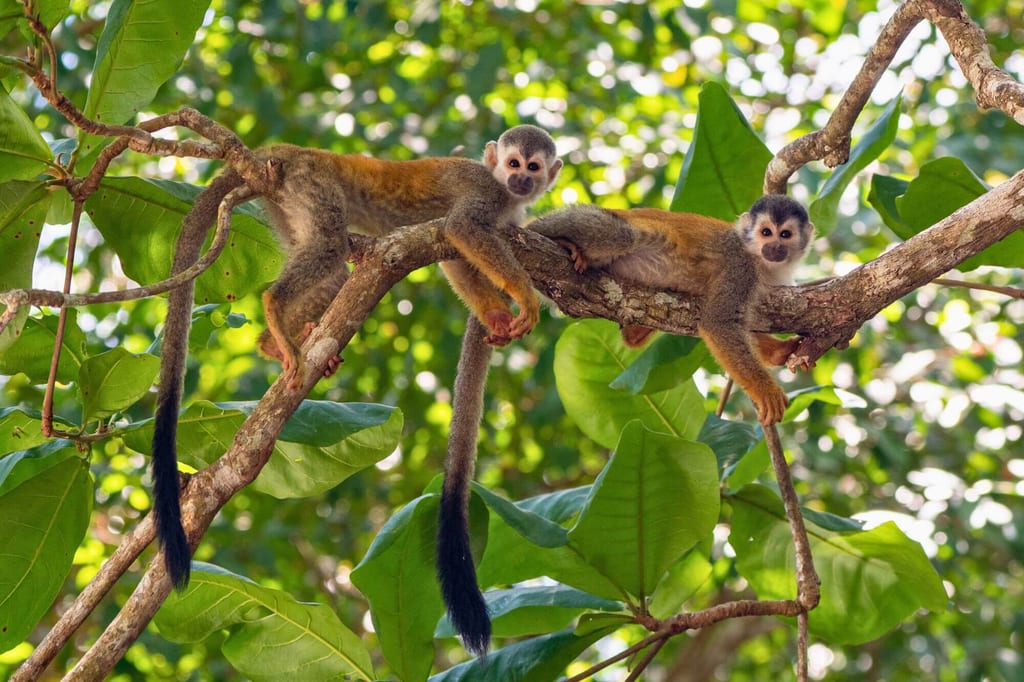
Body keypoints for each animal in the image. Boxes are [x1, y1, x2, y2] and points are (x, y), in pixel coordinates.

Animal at [152, 125, 562, 589]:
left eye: (534, 167)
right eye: (513, 163)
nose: (521, 181)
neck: (502, 192)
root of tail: (291, 151)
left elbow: (456, 256)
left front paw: (495, 315)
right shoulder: (484, 192)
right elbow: (461, 228)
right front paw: (524, 297)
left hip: (285, 203)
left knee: (331, 267)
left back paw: (272, 343)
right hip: (313, 184)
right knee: (330, 245)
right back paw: (275, 308)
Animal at [527, 194, 813, 426]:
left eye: (784, 235)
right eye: (766, 232)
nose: (774, 247)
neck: (758, 259)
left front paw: (778, 351)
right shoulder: (740, 268)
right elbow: (718, 323)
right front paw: (765, 390)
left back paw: (635, 332)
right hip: (580, 217)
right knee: (622, 235)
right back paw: (557, 240)